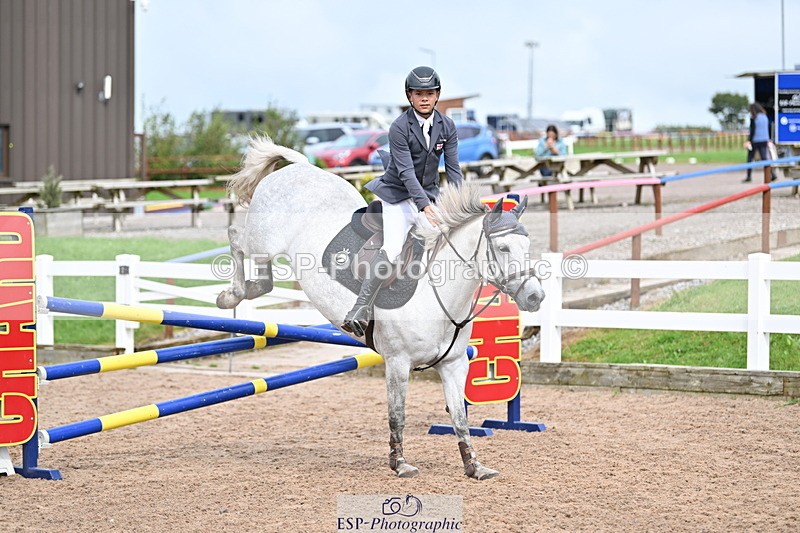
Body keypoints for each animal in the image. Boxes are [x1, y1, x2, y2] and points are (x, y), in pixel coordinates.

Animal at [217, 136, 545, 480]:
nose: (535, 296)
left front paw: (474, 465)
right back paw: (229, 295)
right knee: (236, 239)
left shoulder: (454, 365)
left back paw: (244, 290)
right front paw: (400, 464)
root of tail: (297, 168)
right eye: (503, 248)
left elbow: (459, 418)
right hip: (262, 241)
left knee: (262, 281)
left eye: (527, 246)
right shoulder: (398, 362)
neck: (438, 296)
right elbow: (397, 414)